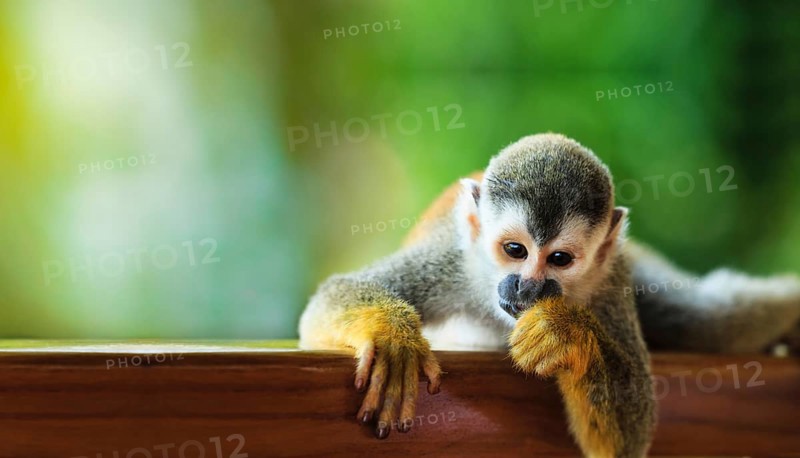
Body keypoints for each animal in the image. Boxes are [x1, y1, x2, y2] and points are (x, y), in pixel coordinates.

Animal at [298, 133, 800, 457]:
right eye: (515, 251)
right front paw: (392, 340)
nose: (528, 286)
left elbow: (626, 439)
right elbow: (334, 294)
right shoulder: (451, 262)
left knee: (710, 320)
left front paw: (566, 334)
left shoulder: (609, 279)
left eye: (559, 259)